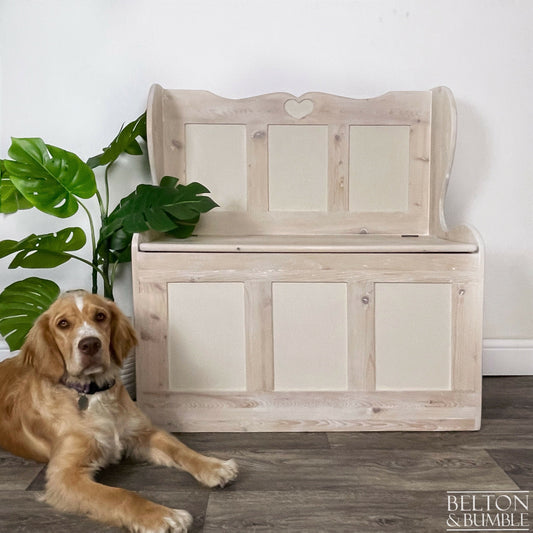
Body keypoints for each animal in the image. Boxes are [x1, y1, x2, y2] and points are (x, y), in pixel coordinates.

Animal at [0, 288, 237, 528]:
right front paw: (162, 516)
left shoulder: (143, 433)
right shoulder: (64, 475)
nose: (90, 344)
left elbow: (180, 449)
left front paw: (214, 466)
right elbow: (120, 495)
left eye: (100, 316)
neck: (93, 395)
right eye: (63, 323)